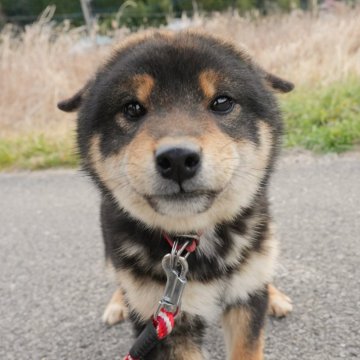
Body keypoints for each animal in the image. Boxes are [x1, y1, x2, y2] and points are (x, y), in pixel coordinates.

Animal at [59, 29, 294, 358]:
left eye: (222, 101)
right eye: (132, 108)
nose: (178, 159)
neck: (190, 241)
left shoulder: (244, 301)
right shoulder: (161, 320)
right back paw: (117, 303)